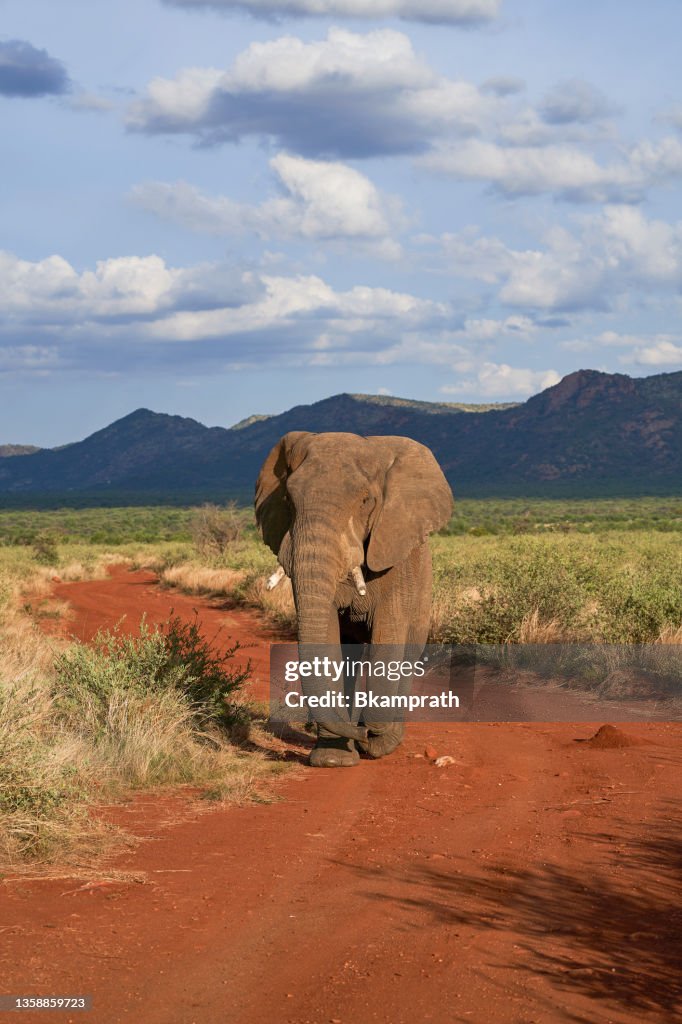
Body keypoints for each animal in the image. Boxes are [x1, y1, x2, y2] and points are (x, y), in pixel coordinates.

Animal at [255, 431, 454, 768]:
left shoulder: (395, 560)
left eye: (365, 501)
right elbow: (327, 636)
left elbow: (388, 635)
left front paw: (373, 740)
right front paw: (332, 759)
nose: (363, 732)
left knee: (409, 651)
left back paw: (385, 741)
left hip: (424, 589)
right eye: (288, 502)